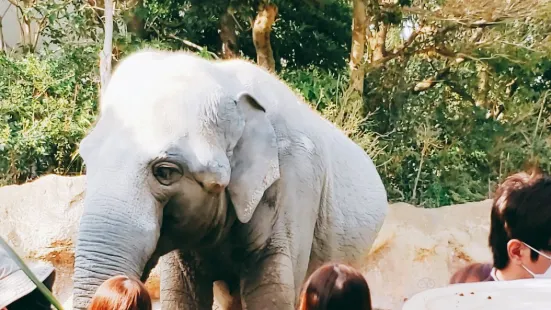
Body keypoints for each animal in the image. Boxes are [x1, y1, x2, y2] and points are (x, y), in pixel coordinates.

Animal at [73, 49, 388, 310]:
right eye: (87, 159)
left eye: (165, 172)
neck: (225, 81)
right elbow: (183, 295)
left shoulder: (295, 183)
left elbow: (270, 295)